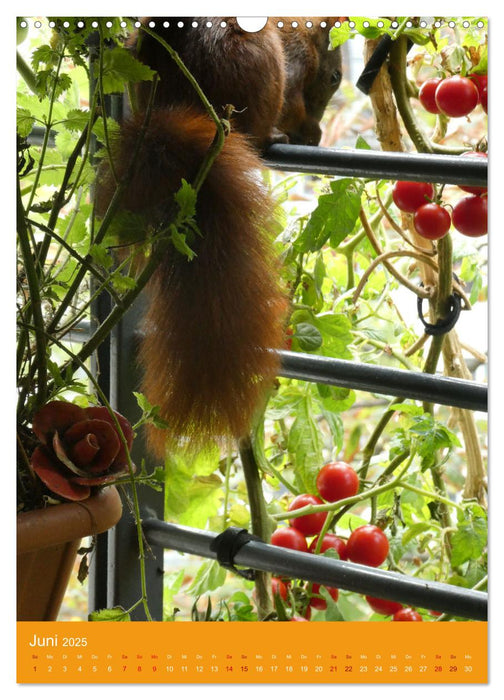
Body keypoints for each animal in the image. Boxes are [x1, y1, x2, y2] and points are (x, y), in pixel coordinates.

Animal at [95, 17, 342, 460]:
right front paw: (307, 130)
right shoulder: (295, 61)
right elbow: (296, 100)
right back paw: (272, 136)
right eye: (335, 77)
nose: (316, 135)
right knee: (261, 126)